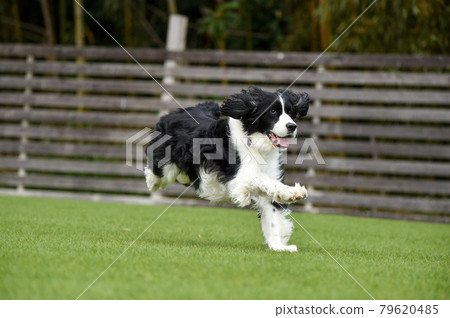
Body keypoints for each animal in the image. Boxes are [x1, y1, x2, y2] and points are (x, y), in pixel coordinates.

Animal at [144, 85, 310, 252]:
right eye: (273, 111)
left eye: (290, 111)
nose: (292, 126)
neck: (255, 143)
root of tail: (172, 114)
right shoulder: (238, 178)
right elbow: (262, 179)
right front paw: (293, 192)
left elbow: (272, 217)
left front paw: (278, 246)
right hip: (165, 162)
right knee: (157, 171)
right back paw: (152, 182)